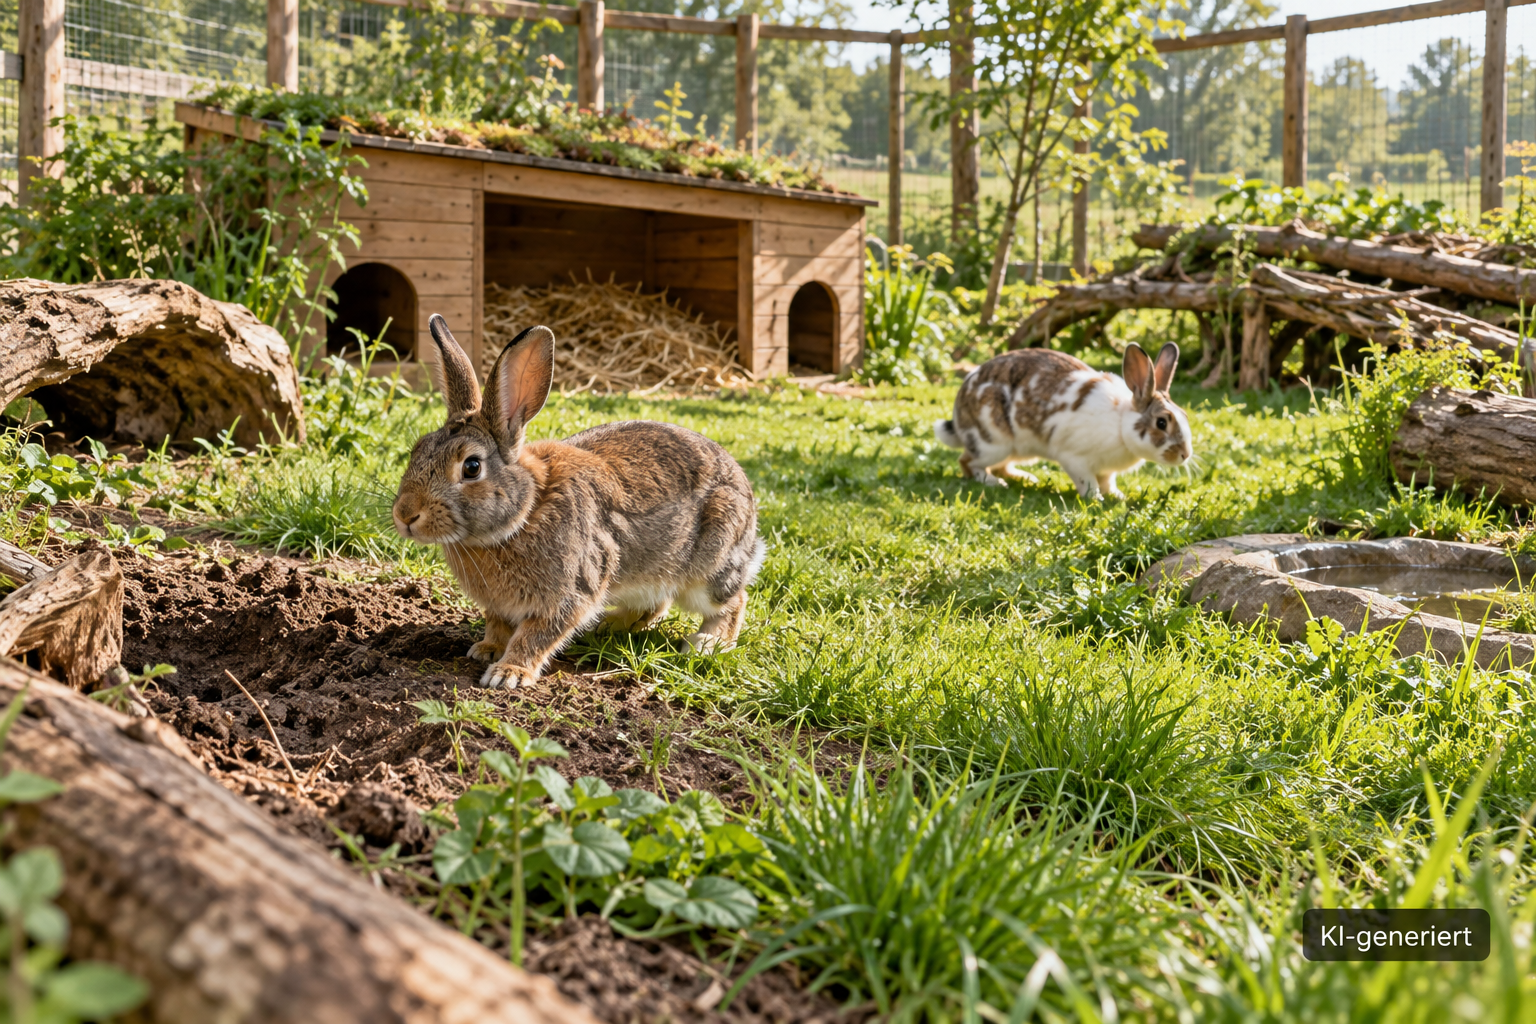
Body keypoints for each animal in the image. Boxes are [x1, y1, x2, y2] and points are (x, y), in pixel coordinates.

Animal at [392, 314, 765, 690]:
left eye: (471, 467)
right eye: (417, 450)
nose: (405, 515)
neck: (525, 513)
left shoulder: (573, 590)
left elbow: (536, 634)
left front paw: (508, 673)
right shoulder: (499, 606)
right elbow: (498, 624)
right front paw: (486, 649)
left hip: (711, 566)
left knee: (733, 600)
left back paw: (707, 643)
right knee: (655, 605)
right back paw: (608, 624)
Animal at [933, 342, 1191, 499]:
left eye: (1184, 415)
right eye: (1161, 423)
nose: (1185, 454)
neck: (1120, 425)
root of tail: (958, 415)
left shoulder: (1107, 471)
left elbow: (1108, 481)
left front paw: (1117, 496)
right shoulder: (1075, 459)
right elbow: (1088, 482)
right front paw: (1096, 499)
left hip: (1016, 450)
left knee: (1001, 466)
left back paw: (1026, 477)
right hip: (993, 443)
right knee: (968, 463)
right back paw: (993, 482)